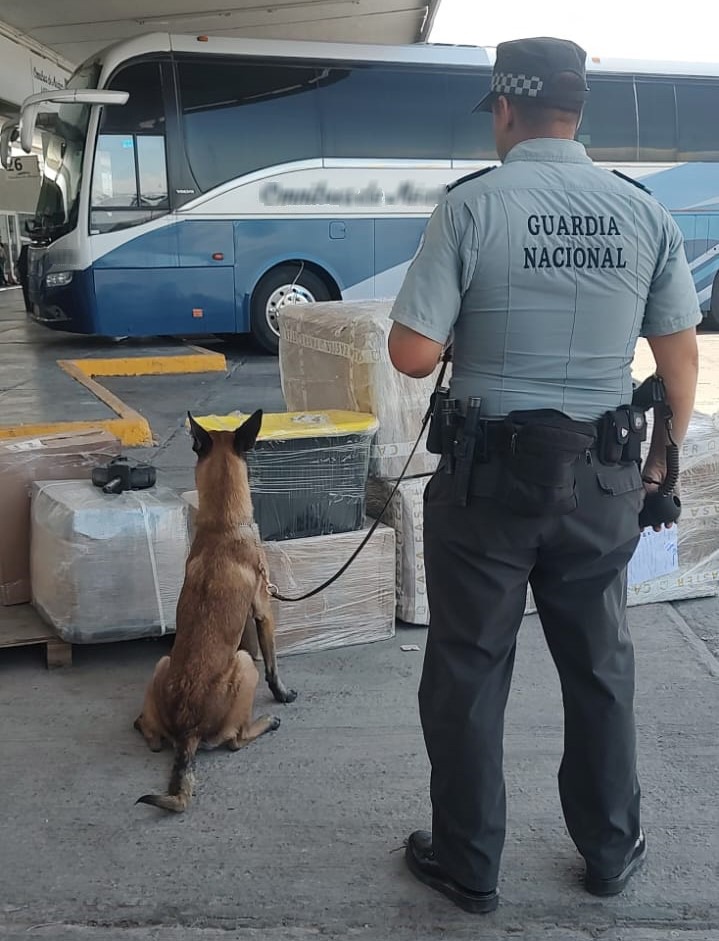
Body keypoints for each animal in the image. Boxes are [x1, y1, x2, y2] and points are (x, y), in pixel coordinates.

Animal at [135, 408, 296, 812]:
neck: (224, 524)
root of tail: (188, 730)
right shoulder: (264, 610)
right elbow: (273, 663)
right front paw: (282, 693)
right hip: (243, 663)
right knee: (236, 739)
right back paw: (266, 721)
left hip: (162, 663)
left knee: (148, 730)